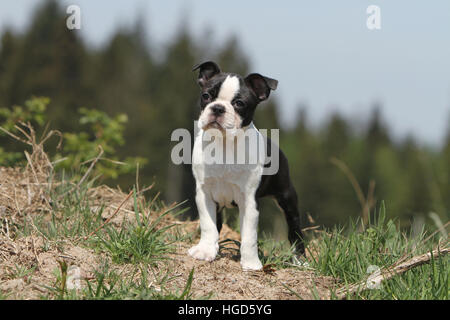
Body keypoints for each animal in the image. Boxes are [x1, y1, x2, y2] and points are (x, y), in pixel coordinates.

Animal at [188, 60, 304, 270]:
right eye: (206, 96)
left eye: (239, 103)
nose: (218, 108)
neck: (224, 144)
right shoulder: (204, 194)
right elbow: (208, 225)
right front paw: (206, 251)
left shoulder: (249, 200)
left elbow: (250, 235)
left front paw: (251, 263)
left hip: (287, 197)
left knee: (295, 229)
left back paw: (300, 260)